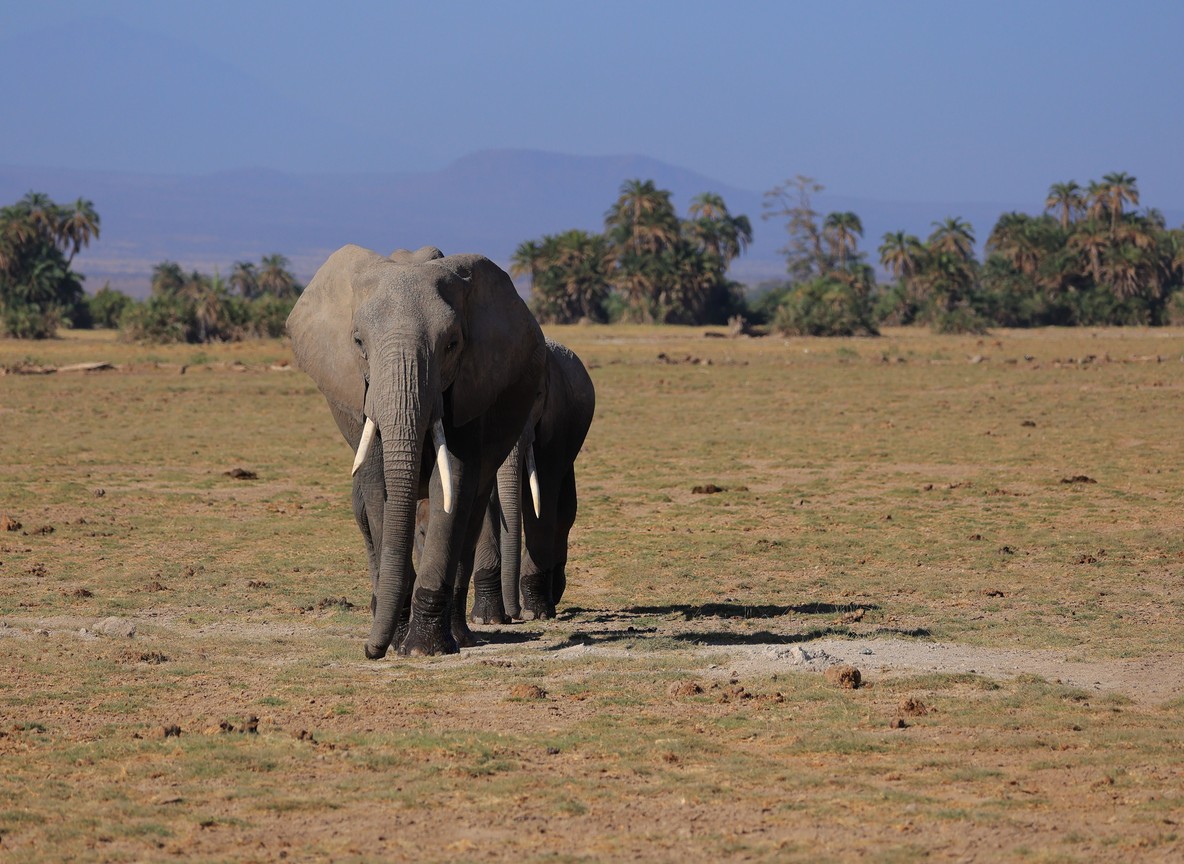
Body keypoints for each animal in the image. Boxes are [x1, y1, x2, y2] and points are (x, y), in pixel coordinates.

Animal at [287, 244, 545, 658]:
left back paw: (461, 637)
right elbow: (377, 488)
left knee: (470, 515)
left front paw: (423, 649)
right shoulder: (362, 397)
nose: (369, 650)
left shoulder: (469, 387)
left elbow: (452, 481)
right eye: (358, 343)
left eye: (452, 344)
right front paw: (395, 641)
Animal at [468, 339, 596, 624]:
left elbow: (542, 497)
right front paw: (487, 618)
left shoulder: (554, 421)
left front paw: (536, 613)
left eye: (536, 396)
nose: (512, 614)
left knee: (564, 514)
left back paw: (552, 596)